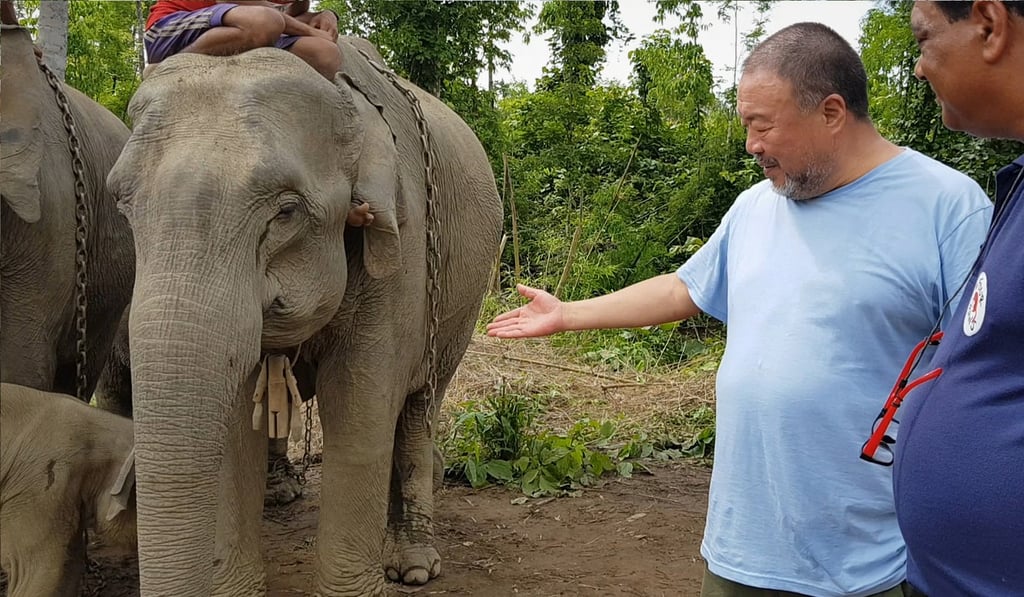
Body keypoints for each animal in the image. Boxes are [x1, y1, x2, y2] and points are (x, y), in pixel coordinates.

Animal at [107, 37, 502, 596]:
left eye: (286, 211)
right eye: (122, 206)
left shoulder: (402, 256)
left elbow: (359, 404)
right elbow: (236, 417)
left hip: (460, 302)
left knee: (419, 403)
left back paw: (413, 564)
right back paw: (282, 493)